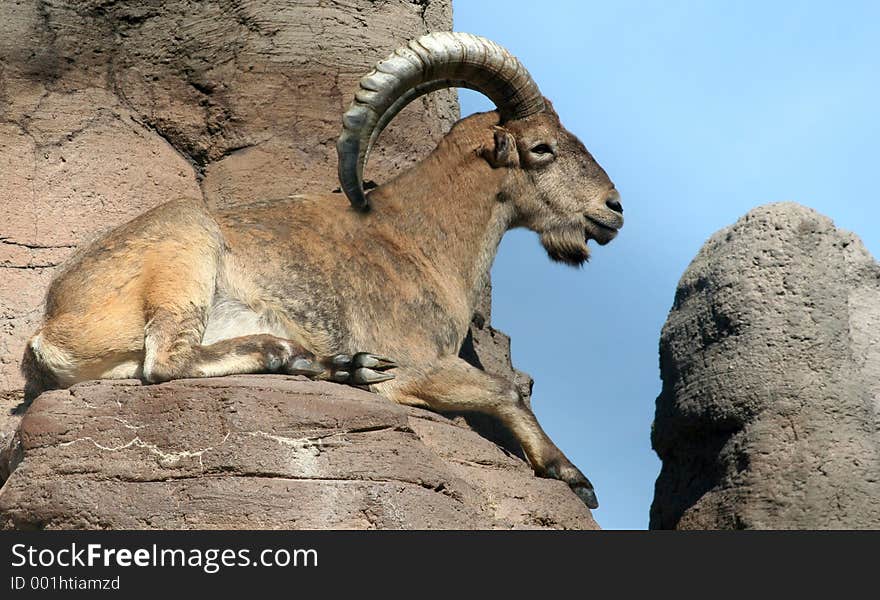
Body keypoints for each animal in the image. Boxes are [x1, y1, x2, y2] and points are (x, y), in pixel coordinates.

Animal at [22, 32, 624, 508]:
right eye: (541, 148)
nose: (613, 209)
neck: (419, 238)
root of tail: (52, 327)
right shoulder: (416, 366)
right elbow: (507, 390)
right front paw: (573, 476)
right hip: (187, 251)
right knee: (166, 363)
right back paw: (311, 357)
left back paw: (332, 365)